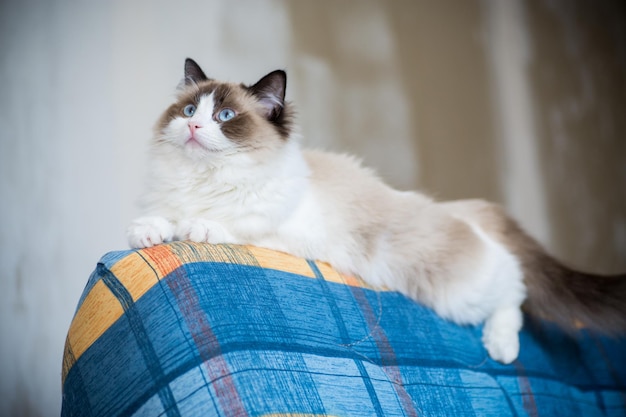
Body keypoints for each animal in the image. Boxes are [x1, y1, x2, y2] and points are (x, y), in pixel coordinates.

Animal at [127, 57, 624, 362]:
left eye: (225, 118)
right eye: (189, 110)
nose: (193, 127)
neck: (204, 180)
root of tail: (456, 209)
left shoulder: (278, 227)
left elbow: (227, 223)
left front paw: (199, 226)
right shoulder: (170, 199)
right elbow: (161, 219)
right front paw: (147, 232)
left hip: (458, 293)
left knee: (514, 288)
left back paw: (501, 346)